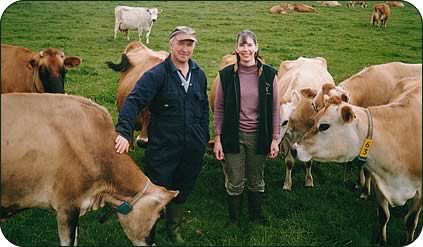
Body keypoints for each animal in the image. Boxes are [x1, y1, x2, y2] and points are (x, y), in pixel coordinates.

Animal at [278, 57, 334, 191]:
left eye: (285, 121)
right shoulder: (286, 136)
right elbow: (289, 162)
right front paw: (287, 184)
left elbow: (308, 161)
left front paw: (309, 181)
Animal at [294, 80, 423, 246]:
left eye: (324, 125)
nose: (294, 149)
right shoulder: (378, 180)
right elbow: (383, 216)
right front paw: (381, 241)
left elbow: (410, 221)